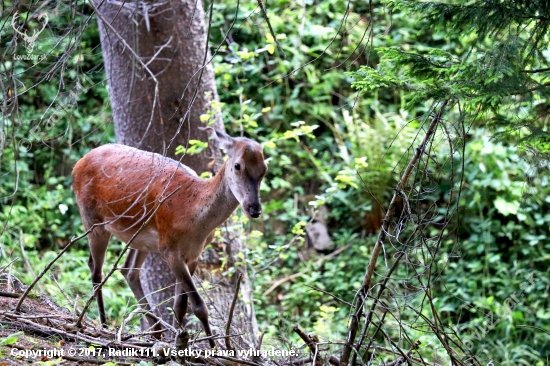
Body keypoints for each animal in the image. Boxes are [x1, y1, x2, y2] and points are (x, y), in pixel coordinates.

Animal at [72, 129, 268, 346]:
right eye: (237, 165)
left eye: (264, 169)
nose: (254, 208)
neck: (196, 223)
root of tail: (78, 163)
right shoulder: (170, 250)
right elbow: (199, 306)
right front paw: (212, 347)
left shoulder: (193, 254)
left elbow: (180, 306)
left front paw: (180, 339)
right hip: (92, 219)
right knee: (96, 269)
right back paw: (105, 325)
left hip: (141, 239)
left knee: (128, 269)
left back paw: (156, 331)